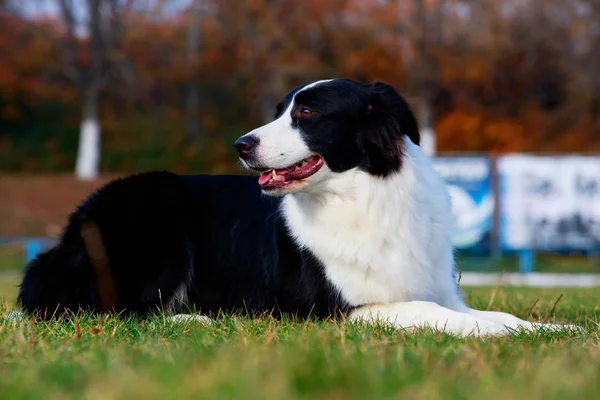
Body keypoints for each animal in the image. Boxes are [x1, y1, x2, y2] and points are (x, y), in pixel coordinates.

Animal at [17, 77, 576, 334]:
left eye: (306, 112)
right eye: (281, 109)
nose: (241, 144)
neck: (359, 194)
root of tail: (62, 236)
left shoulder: (435, 286)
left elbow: (496, 313)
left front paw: (553, 329)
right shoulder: (341, 309)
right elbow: (439, 314)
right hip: (158, 214)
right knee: (117, 310)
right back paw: (198, 319)